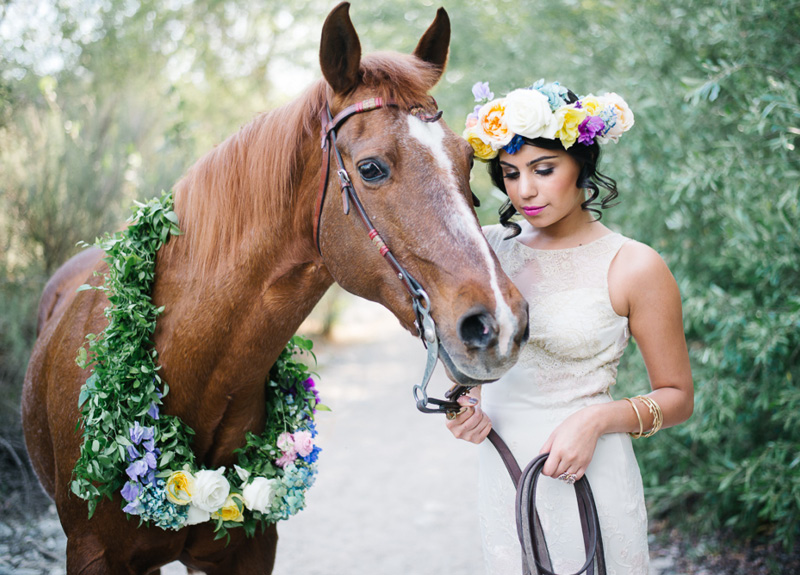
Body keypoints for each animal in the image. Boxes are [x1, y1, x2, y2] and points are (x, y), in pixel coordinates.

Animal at [21, 4, 528, 575]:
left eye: (467, 161)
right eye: (372, 168)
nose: (500, 324)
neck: (185, 369)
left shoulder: (248, 552)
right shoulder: (95, 554)